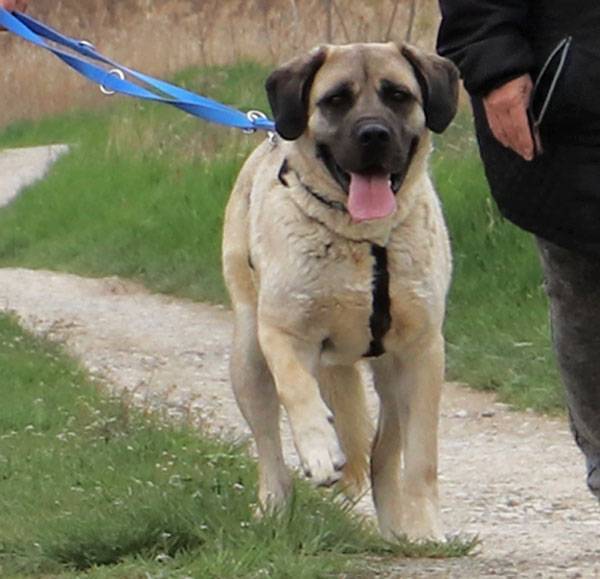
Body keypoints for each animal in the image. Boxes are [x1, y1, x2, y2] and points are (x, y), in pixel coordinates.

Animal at [222, 42, 458, 541]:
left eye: (398, 95)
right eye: (335, 100)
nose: (373, 135)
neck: (363, 237)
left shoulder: (422, 351)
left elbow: (421, 458)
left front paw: (426, 530)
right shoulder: (284, 332)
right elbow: (296, 389)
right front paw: (318, 451)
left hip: (390, 375)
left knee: (384, 452)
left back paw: (394, 529)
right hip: (249, 354)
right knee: (270, 445)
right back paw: (274, 507)